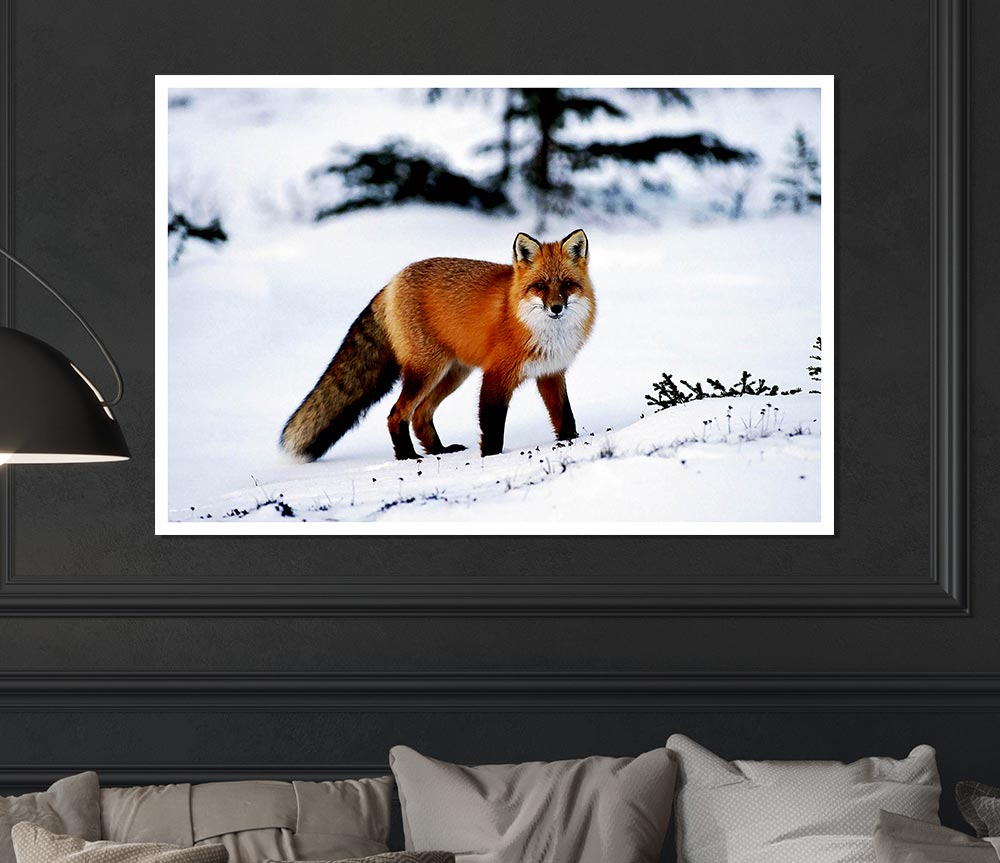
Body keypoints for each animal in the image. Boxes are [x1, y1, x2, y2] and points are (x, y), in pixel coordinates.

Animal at [280, 228, 592, 460]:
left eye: (566, 284)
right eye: (539, 286)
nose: (555, 308)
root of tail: (393, 281)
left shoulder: (551, 372)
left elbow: (565, 417)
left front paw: (570, 442)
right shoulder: (496, 375)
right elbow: (492, 427)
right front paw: (492, 460)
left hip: (452, 374)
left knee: (420, 414)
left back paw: (438, 450)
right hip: (427, 371)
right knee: (397, 414)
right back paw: (408, 457)